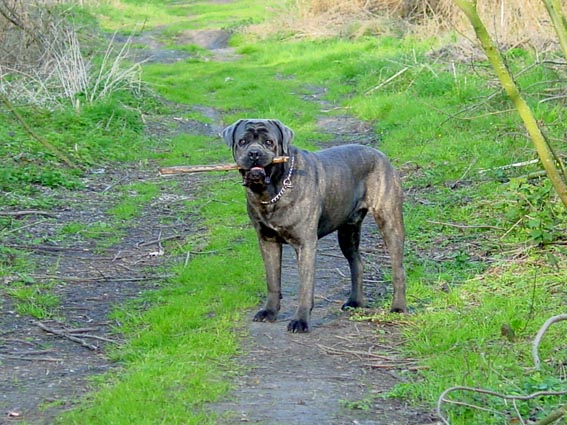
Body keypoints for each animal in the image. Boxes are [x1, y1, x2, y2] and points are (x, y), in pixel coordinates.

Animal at [223, 118, 408, 332]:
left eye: (269, 142)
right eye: (242, 141)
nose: (254, 153)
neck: (272, 191)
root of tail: (380, 154)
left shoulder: (305, 244)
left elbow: (305, 285)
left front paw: (300, 320)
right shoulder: (268, 241)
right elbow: (272, 281)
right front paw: (269, 312)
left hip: (389, 223)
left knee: (398, 269)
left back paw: (398, 308)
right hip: (347, 232)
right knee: (357, 263)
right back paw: (355, 302)